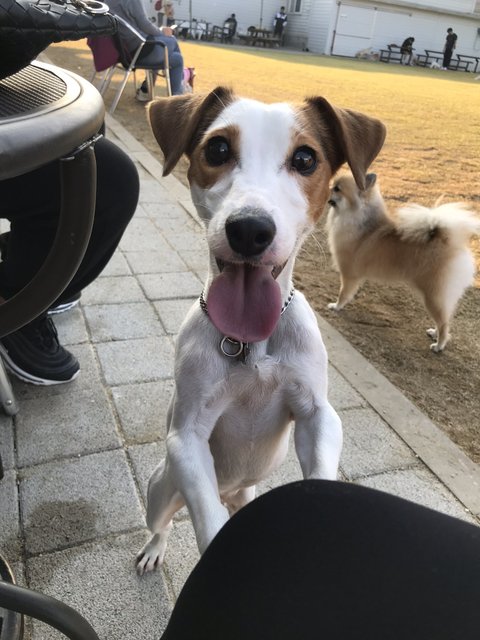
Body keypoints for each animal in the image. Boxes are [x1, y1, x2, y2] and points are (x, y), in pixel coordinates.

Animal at [135, 88, 386, 574]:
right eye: (217, 149)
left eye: (306, 158)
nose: (250, 229)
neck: (250, 344)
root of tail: (232, 489)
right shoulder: (188, 436)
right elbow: (208, 520)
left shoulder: (317, 413)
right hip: (162, 488)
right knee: (165, 522)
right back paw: (155, 548)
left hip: (243, 495)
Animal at [326, 173, 480, 352]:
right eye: (333, 186)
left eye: (337, 189)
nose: (327, 188)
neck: (358, 219)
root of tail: (447, 241)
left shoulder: (349, 274)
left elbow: (343, 293)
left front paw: (336, 306)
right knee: (445, 320)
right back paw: (434, 333)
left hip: (433, 295)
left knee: (444, 323)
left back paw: (438, 345)